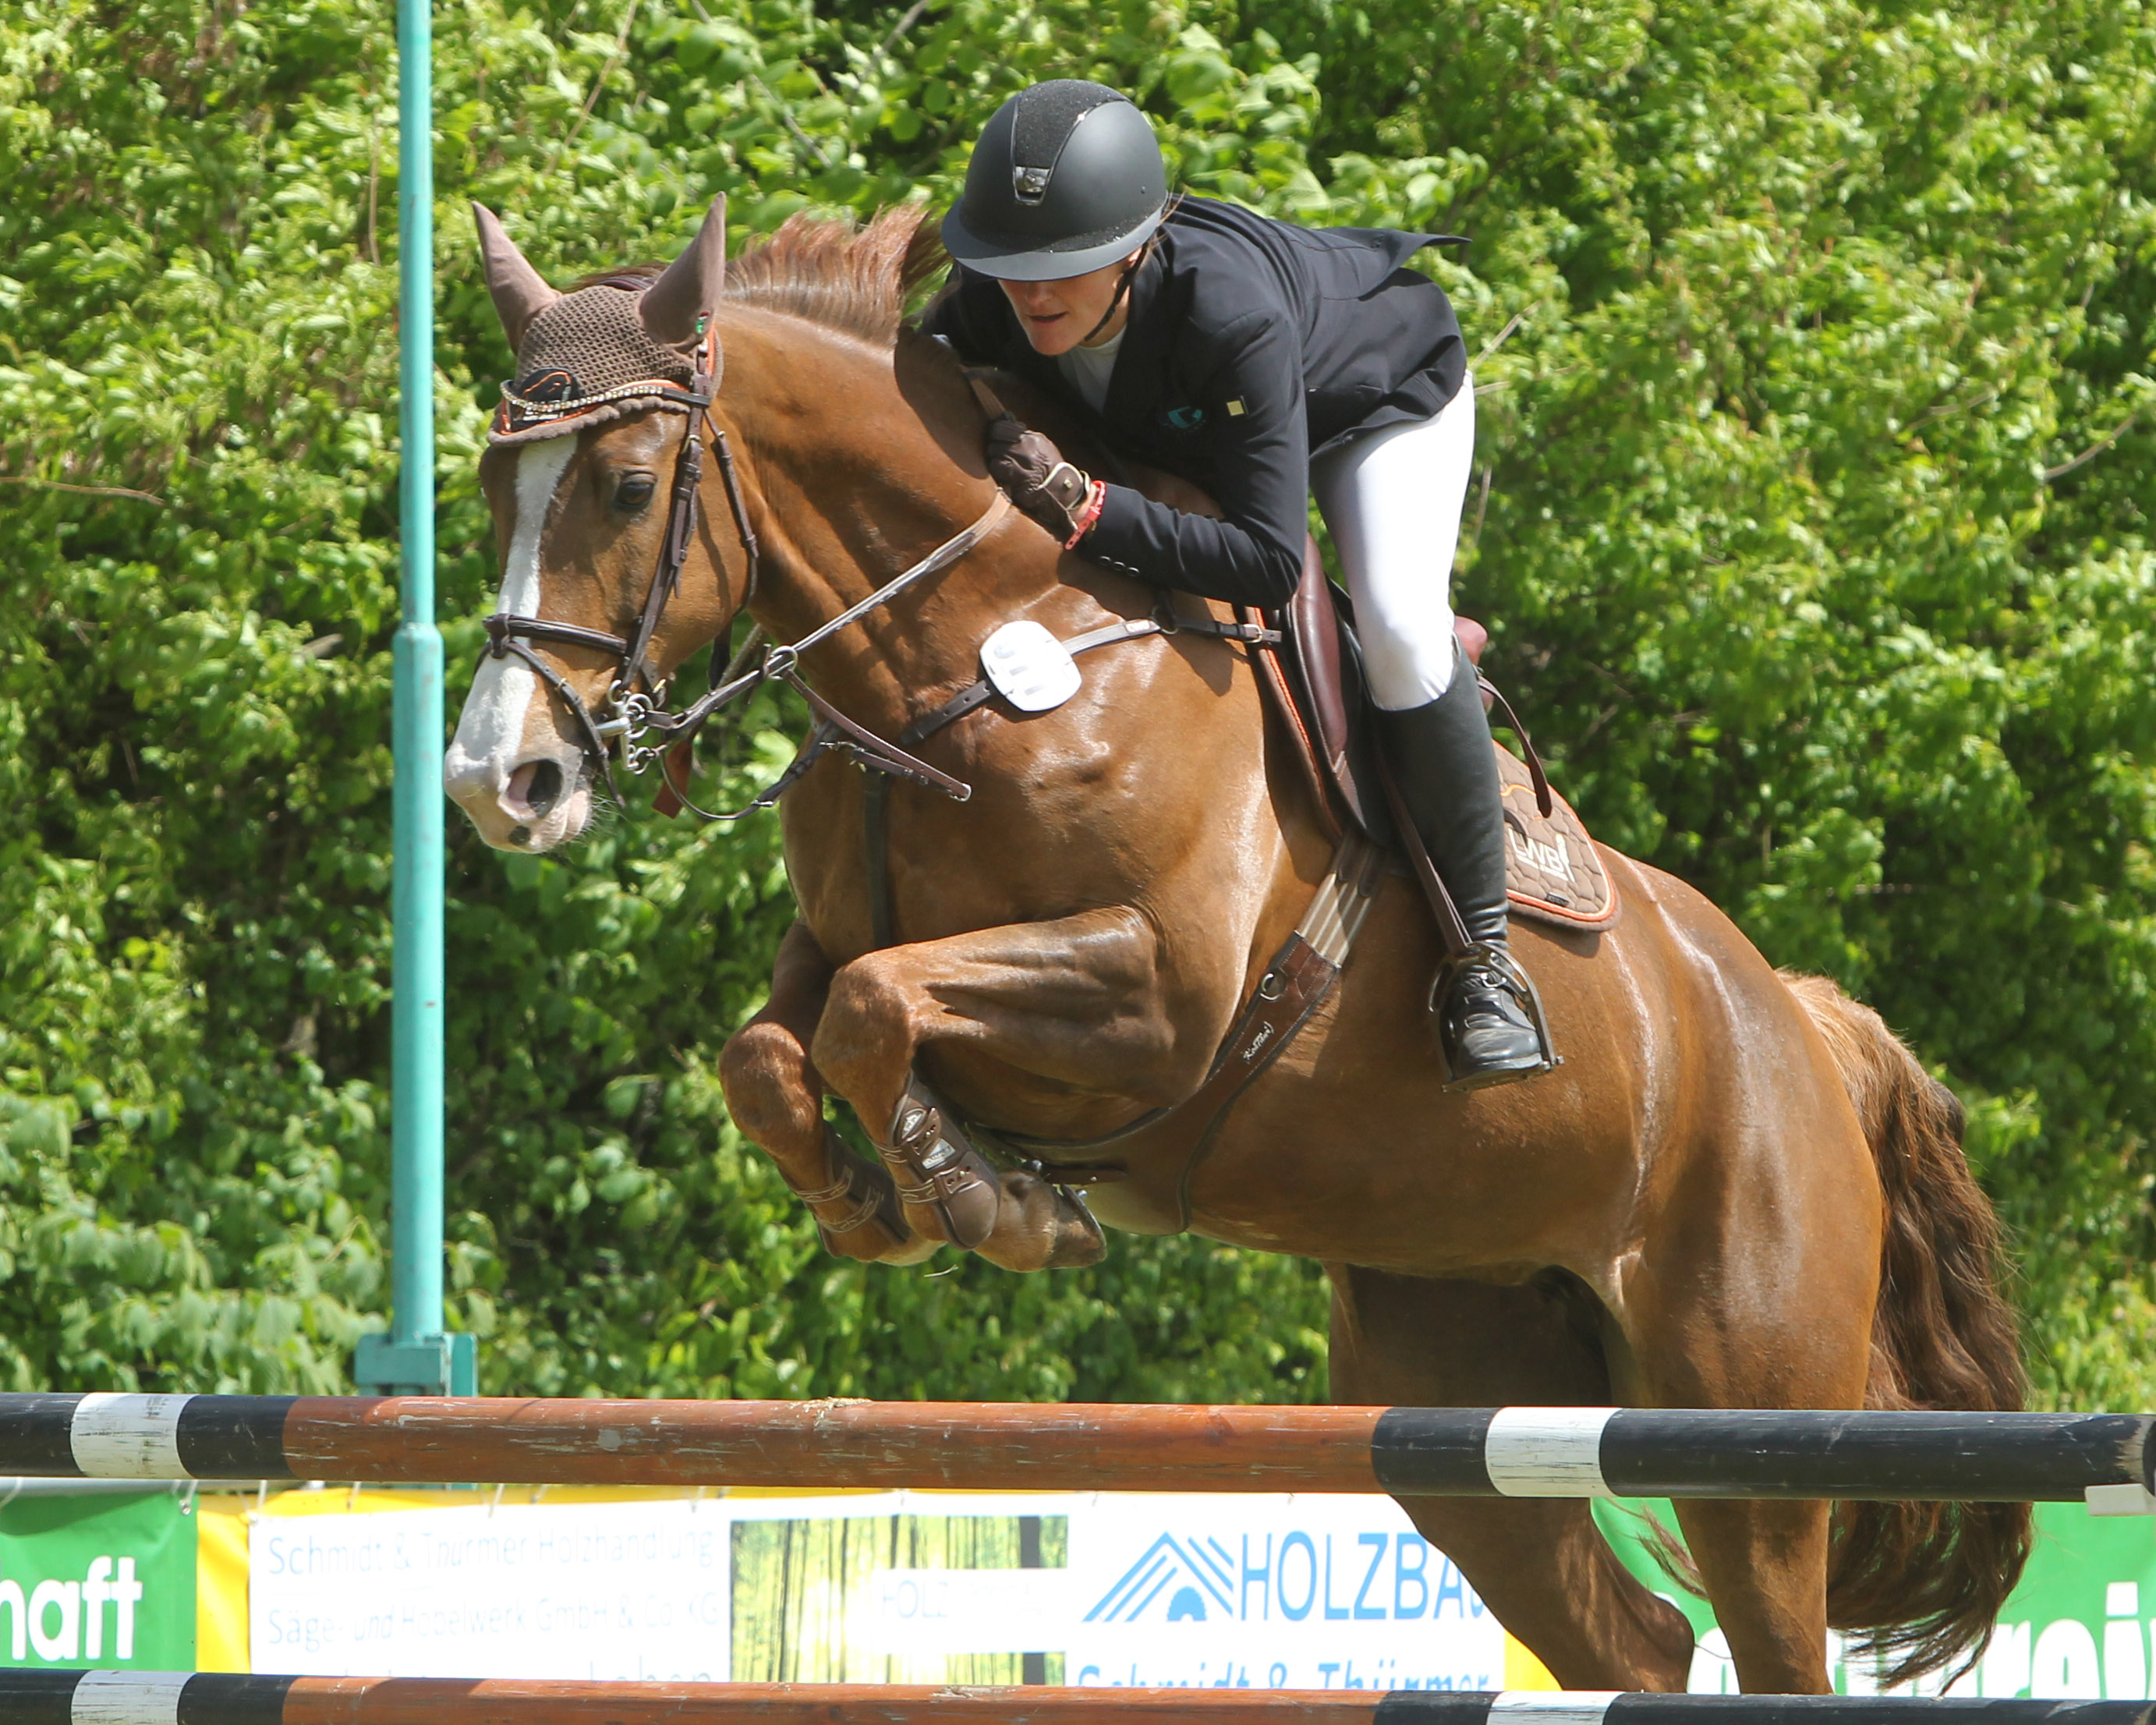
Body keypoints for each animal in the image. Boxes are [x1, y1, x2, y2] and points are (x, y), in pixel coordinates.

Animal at [446, 202, 2027, 1698]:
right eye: (486, 487)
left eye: (629, 486)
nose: (498, 782)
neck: (977, 651)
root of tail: (1797, 1022)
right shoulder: (834, 946)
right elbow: (775, 1049)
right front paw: (879, 1197)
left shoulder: (1157, 995)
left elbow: (874, 1012)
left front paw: (987, 1197)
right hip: (1460, 1376)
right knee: (1630, 1642)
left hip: (1743, 1411)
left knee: (1770, 1626)